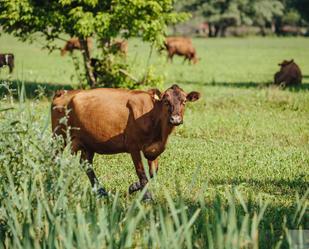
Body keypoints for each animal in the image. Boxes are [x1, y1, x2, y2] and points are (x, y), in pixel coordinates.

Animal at [51, 84, 200, 199]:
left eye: (184, 101)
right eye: (166, 101)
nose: (175, 119)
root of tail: (64, 93)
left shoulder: (153, 149)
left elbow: (152, 173)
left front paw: (134, 187)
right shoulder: (133, 146)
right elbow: (141, 172)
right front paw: (147, 197)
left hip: (88, 143)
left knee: (86, 164)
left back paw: (101, 191)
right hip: (59, 136)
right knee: (55, 157)